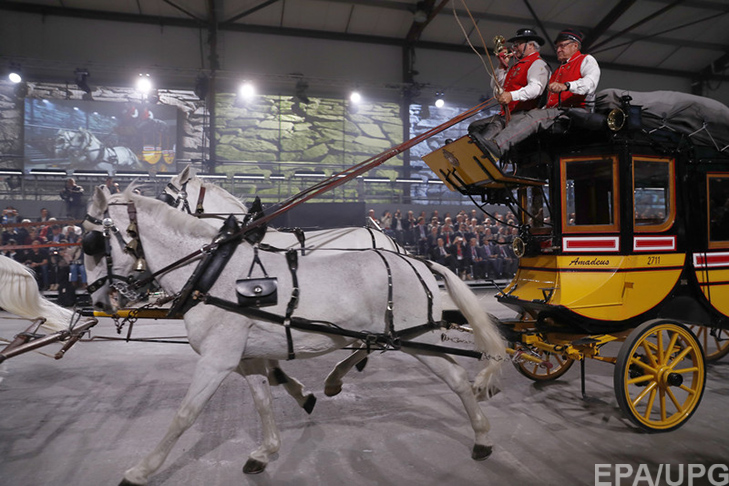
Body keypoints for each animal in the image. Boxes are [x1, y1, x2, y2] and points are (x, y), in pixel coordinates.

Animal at [85, 185, 504, 482]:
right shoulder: (247, 358)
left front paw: (141, 470)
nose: (99, 299)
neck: (214, 273)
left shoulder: (217, 360)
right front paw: (265, 450)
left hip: (418, 340)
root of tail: (417, 260)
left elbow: (184, 415)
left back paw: (483, 438)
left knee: (456, 377)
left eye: (91, 244)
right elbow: (263, 402)